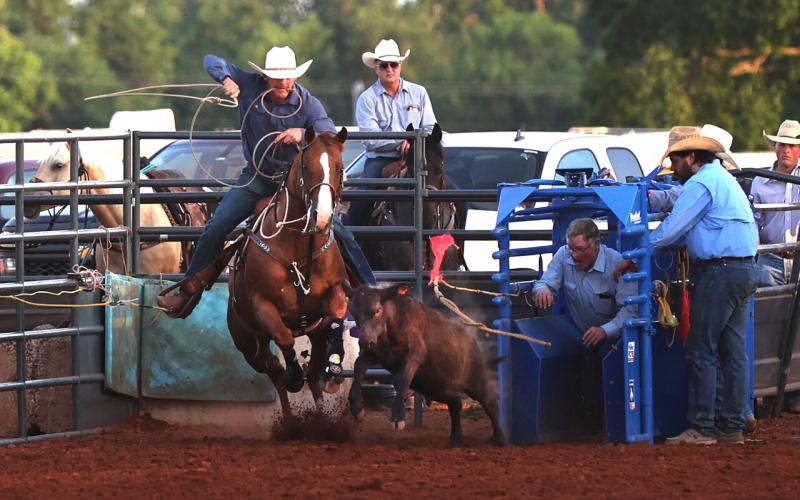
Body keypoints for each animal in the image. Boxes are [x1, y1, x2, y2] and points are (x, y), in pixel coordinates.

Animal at [343, 282, 506, 447]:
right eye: (354, 313)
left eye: (377, 310)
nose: (364, 341)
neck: (392, 328)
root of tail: (472, 341)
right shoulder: (372, 354)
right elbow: (358, 367)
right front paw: (357, 407)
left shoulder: (416, 355)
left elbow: (401, 380)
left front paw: (398, 417)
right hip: (438, 387)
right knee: (455, 404)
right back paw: (456, 439)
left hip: (476, 382)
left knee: (490, 402)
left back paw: (499, 438)